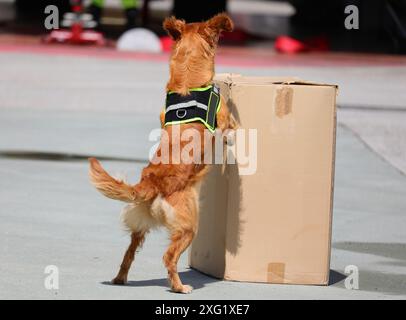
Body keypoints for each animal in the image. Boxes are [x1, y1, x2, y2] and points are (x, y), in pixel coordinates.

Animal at [89, 13, 235, 294]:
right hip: (189, 227)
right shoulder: (224, 119)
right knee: (169, 257)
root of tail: (151, 182)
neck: (188, 79)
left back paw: (120, 278)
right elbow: (232, 125)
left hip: (139, 228)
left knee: (128, 254)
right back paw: (179, 286)